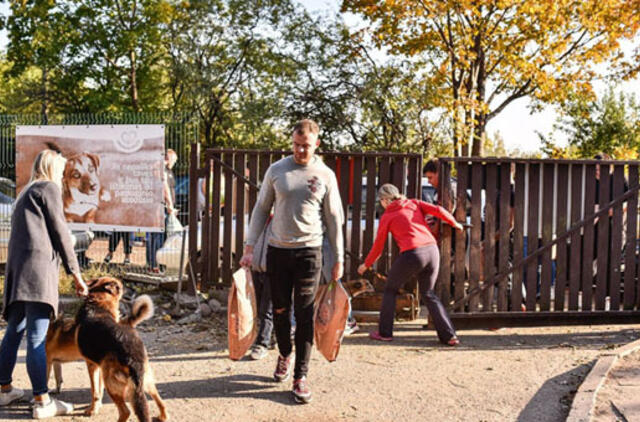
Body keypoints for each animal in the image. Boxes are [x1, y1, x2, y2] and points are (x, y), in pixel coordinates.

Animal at [75, 276, 168, 422]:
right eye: (123, 286)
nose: (135, 290)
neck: (98, 302)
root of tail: (133, 359)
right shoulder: (99, 366)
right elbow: (98, 390)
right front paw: (97, 406)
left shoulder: (91, 365)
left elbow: (95, 391)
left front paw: (92, 410)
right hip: (145, 381)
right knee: (158, 399)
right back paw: (163, 416)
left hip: (111, 383)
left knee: (125, 412)